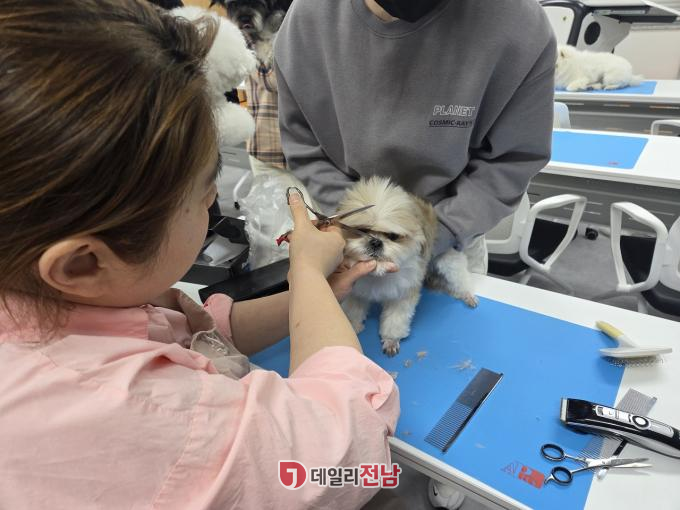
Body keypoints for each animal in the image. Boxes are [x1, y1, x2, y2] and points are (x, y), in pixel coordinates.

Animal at [338, 177, 478, 356]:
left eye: (393, 236)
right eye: (361, 229)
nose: (375, 242)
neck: (379, 275)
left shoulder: (403, 293)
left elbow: (395, 320)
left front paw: (391, 340)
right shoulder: (355, 292)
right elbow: (353, 311)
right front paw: (353, 327)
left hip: (449, 261)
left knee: (460, 278)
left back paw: (467, 295)